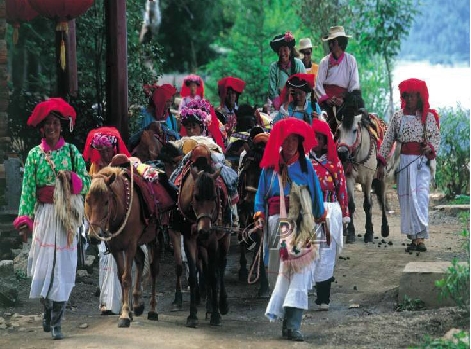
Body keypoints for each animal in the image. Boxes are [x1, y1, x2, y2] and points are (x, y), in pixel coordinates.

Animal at [85, 166, 164, 326]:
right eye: (88, 200)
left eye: (106, 201)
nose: (93, 237)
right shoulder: (116, 249)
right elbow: (121, 278)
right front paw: (127, 310)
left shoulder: (129, 247)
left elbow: (127, 277)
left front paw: (125, 315)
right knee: (140, 259)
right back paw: (138, 304)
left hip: (155, 239)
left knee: (153, 270)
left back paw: (152, 310)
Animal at [174, 145, 231, 328]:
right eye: (196, 196)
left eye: (214, 197)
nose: (204, 230)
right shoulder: (189, 239)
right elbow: (193, 276)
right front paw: (192, 315)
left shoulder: (212, 241)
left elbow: (213, 276)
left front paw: (216, 315)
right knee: (206, 267)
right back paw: (208, 307)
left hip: (225, 237)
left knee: (220, 266)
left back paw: (222, 305)